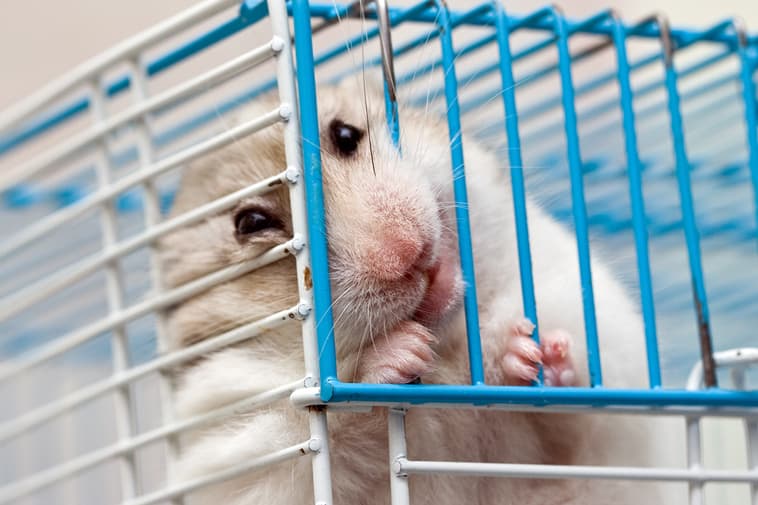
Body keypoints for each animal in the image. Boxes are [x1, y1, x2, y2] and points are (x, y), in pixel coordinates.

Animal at [159, 76, 684, 504]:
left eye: (346, 135)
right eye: (252, 223)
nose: (407, 253)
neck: (447, 346)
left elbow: (577, 403)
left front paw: (529, 351)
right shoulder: (239, 448)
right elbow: (336, 424)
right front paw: (405, 352)